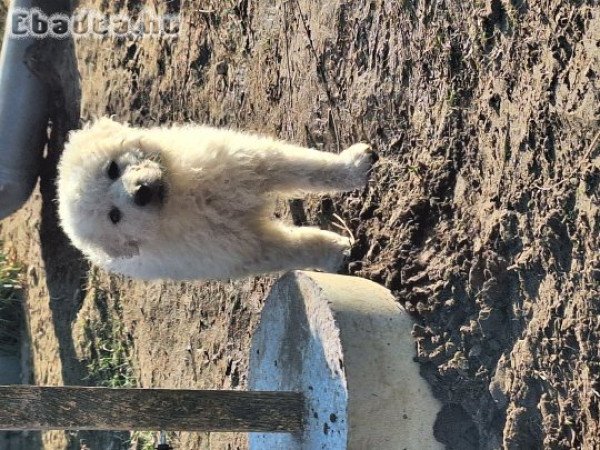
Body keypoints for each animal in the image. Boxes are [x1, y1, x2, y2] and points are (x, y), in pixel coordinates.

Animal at [57, 118, 376, 282]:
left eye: (111, 169)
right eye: (114, 216)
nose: (141, 191)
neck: (181, 197)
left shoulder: (252, 163)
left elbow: (308, 168)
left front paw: (355, 166)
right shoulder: (240, 249)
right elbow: (296, 248)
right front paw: (337, 251)